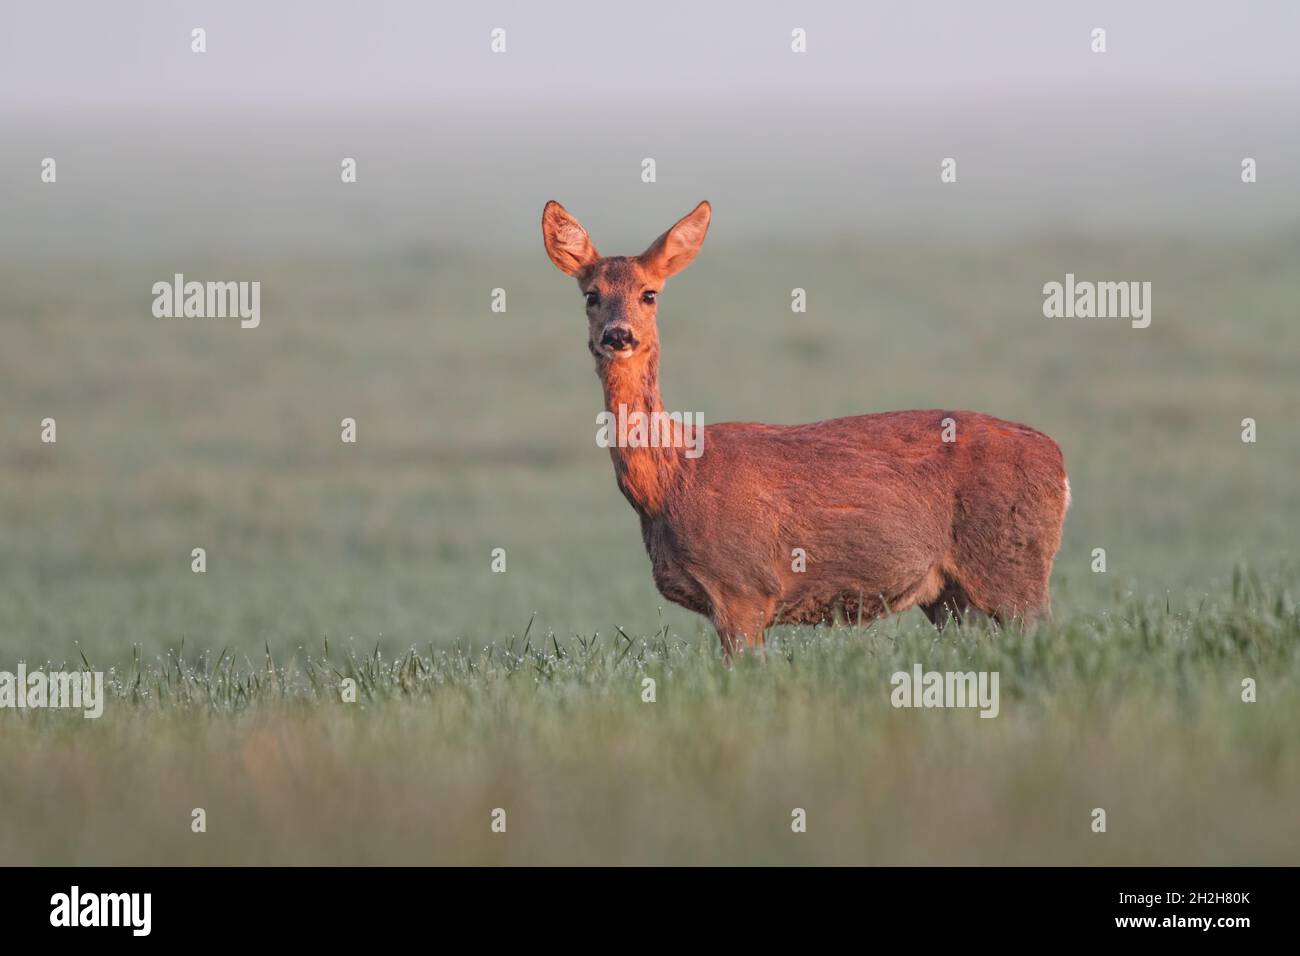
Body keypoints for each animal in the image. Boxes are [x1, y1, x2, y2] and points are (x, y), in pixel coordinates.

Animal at [542, 199, 1070, 657]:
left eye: (649, 294)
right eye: (591, 296)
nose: (618, 335)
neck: (671, 481)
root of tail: (1059, 462)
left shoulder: (742, 585)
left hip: (1013, 561)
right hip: (951, 595)